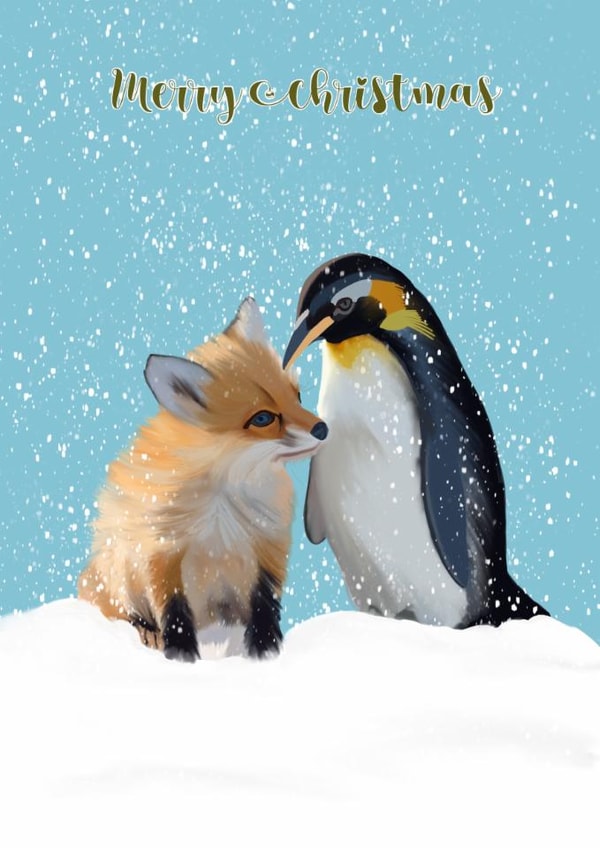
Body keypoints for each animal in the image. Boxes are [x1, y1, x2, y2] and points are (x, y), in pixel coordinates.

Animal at [78, 297, 329, 662]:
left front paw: (265, 650)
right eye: (263, 418)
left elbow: (264, 603)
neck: (223, 501)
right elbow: (174, 610)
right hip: (119, 572)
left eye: (297, 397)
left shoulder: (267, 543)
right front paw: (181, 655)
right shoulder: (162, 549)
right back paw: (146, 631)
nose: (323, 428)